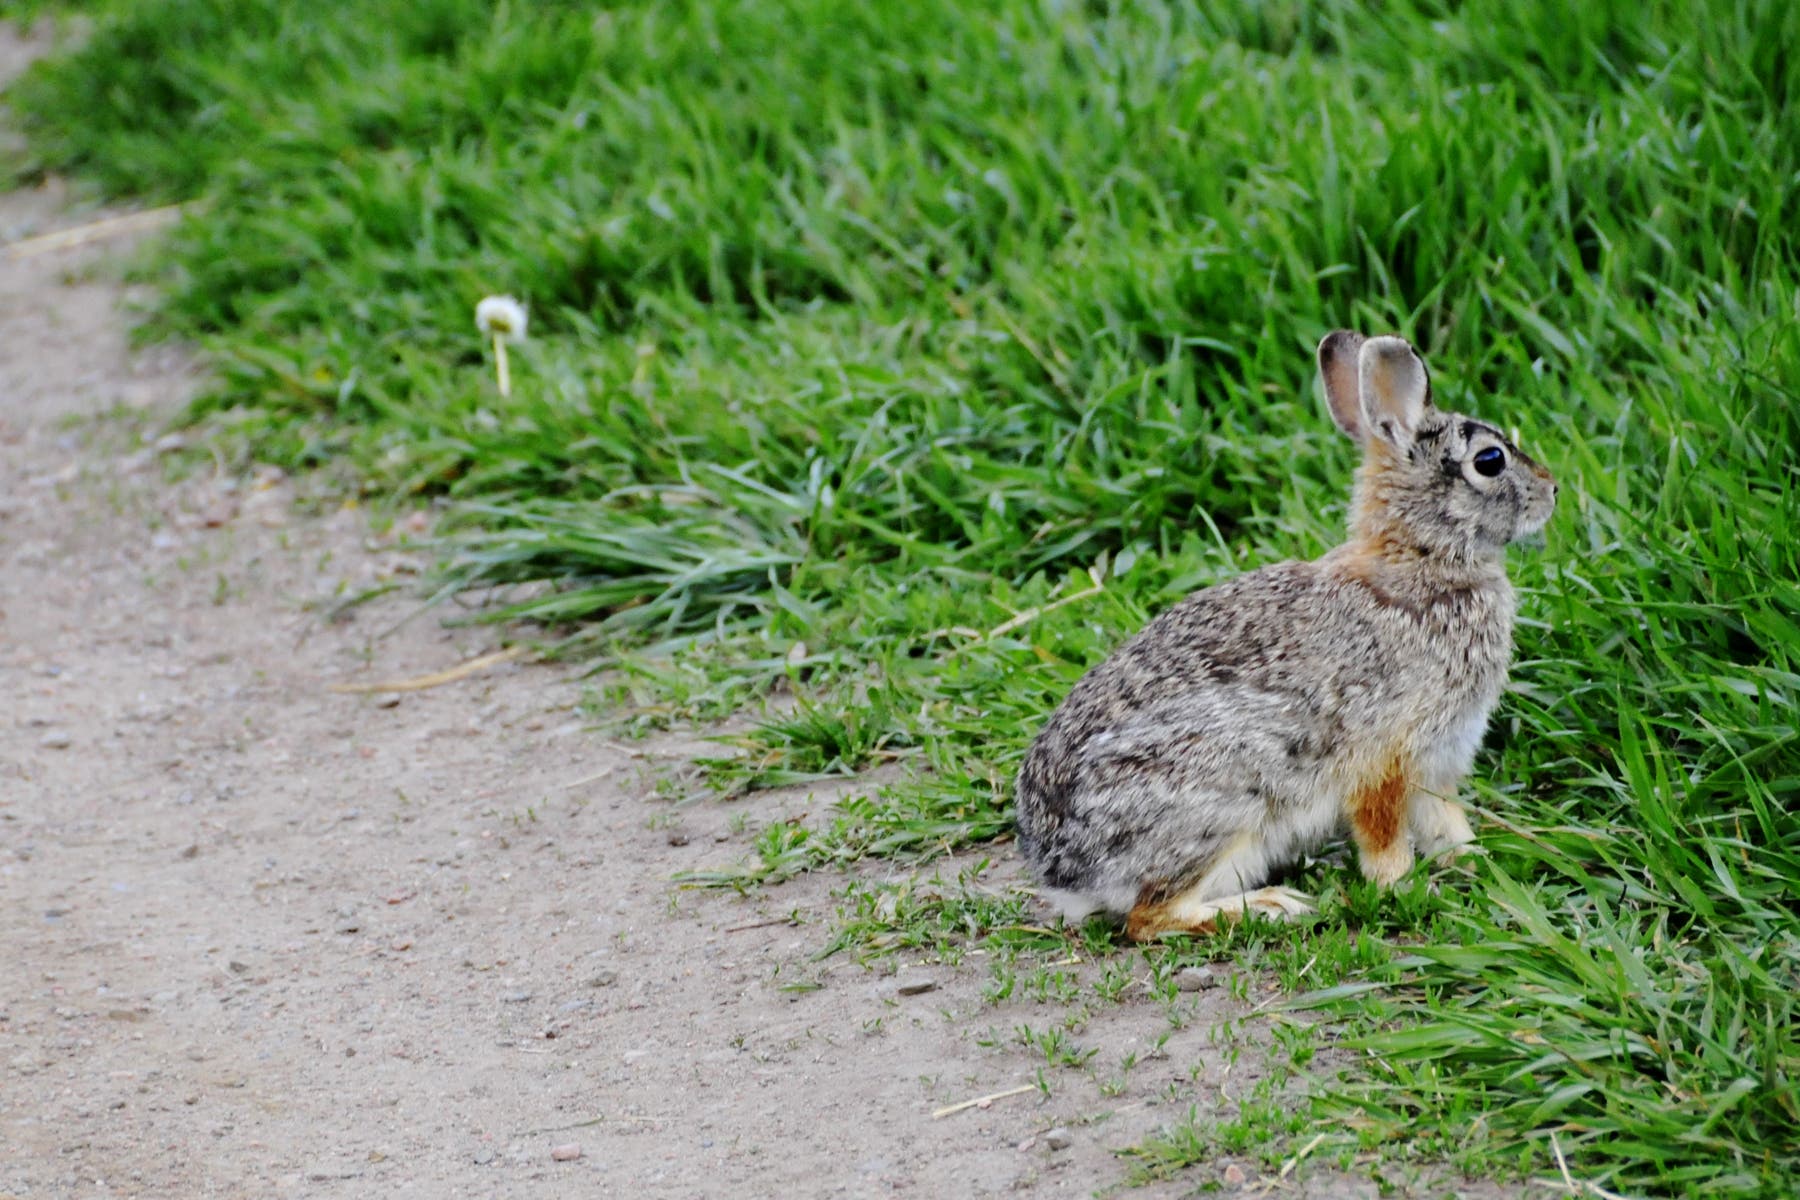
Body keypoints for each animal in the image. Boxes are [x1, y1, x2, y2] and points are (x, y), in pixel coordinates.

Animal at [1014, 331, 1557, 940]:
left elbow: (1446, 823)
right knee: (1149, 917)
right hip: (1222, 807)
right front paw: (1402, 886)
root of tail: (1063, 870)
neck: (1419, 564)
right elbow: (1383, 835)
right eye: (1490, 460)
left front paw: (1476, 862)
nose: (1553, 490)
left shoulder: (1438, 760)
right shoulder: (1384, 758)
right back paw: (1273, 906)